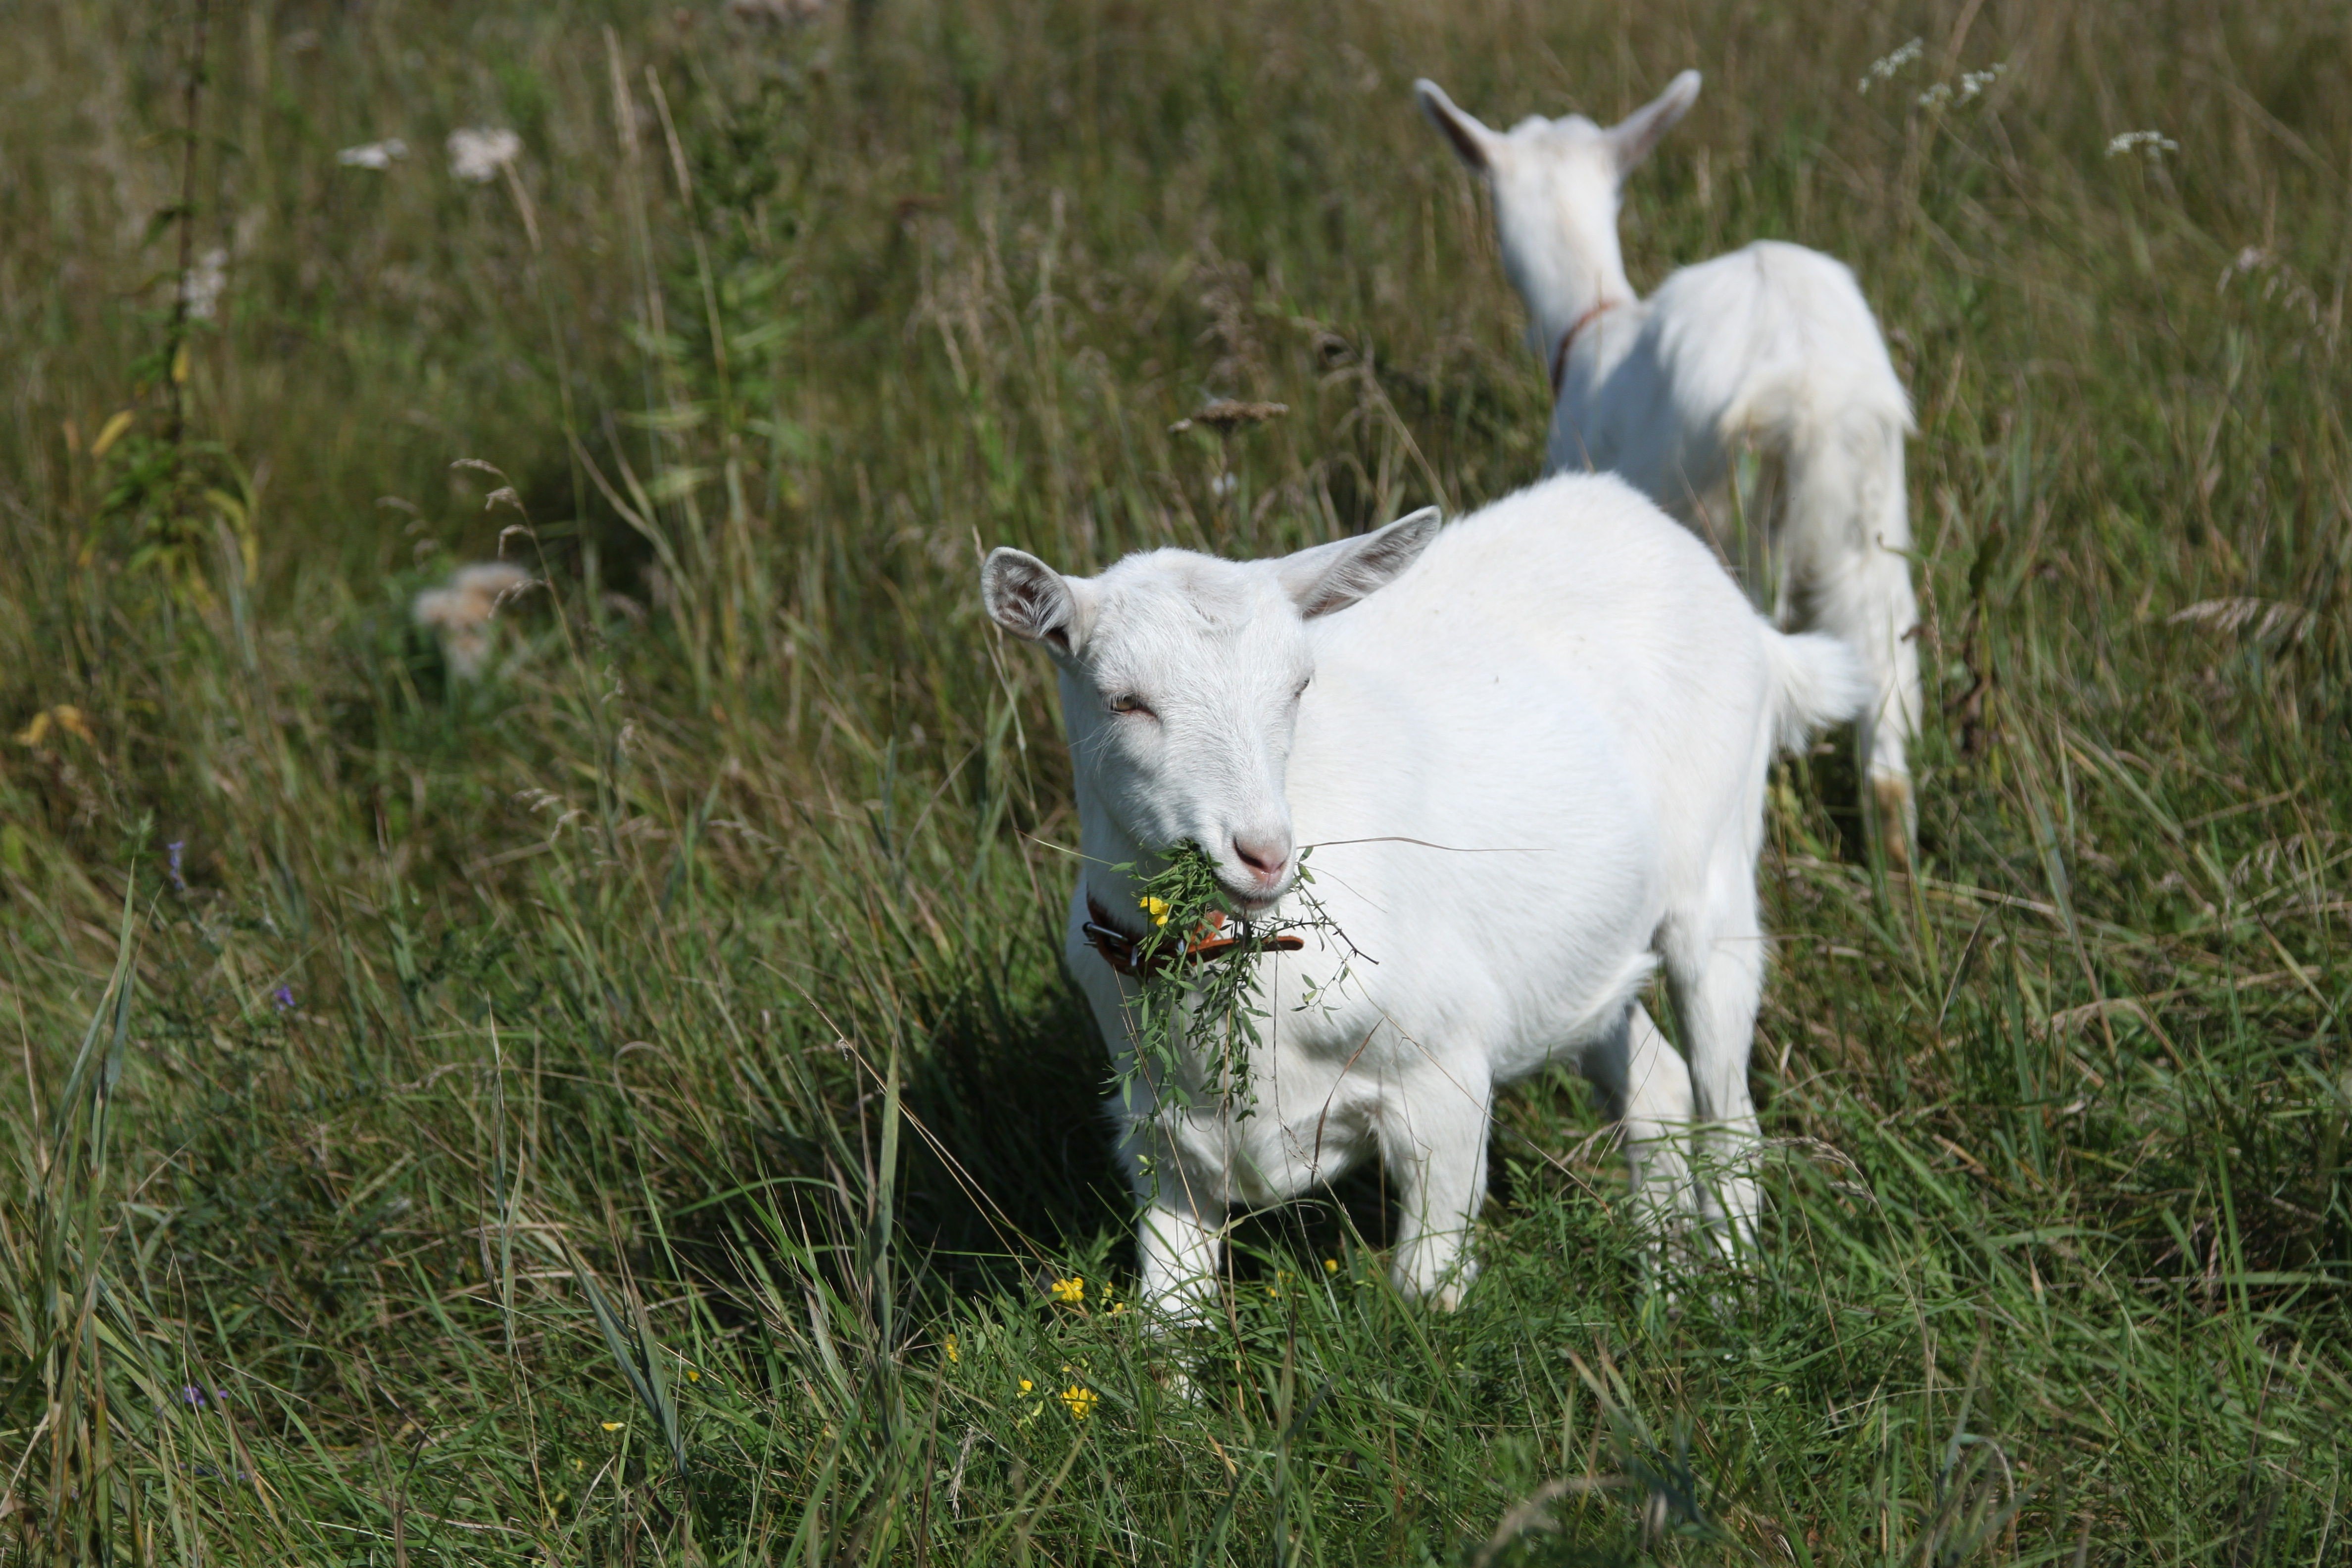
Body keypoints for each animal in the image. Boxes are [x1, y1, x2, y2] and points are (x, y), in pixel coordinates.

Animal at [983, 472, 1862, 1316]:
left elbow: (1425, 1291)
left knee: (1728, 1106)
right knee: (1658, 1084)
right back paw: (1666, 1288)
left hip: (1716, 876)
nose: (1262, 854)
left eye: (1299, 686)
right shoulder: (1161, 1143)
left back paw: (1731, 1292)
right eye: (1124, 700)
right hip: (1574, 954)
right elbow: (1169, 1323)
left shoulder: (1444, 1075)